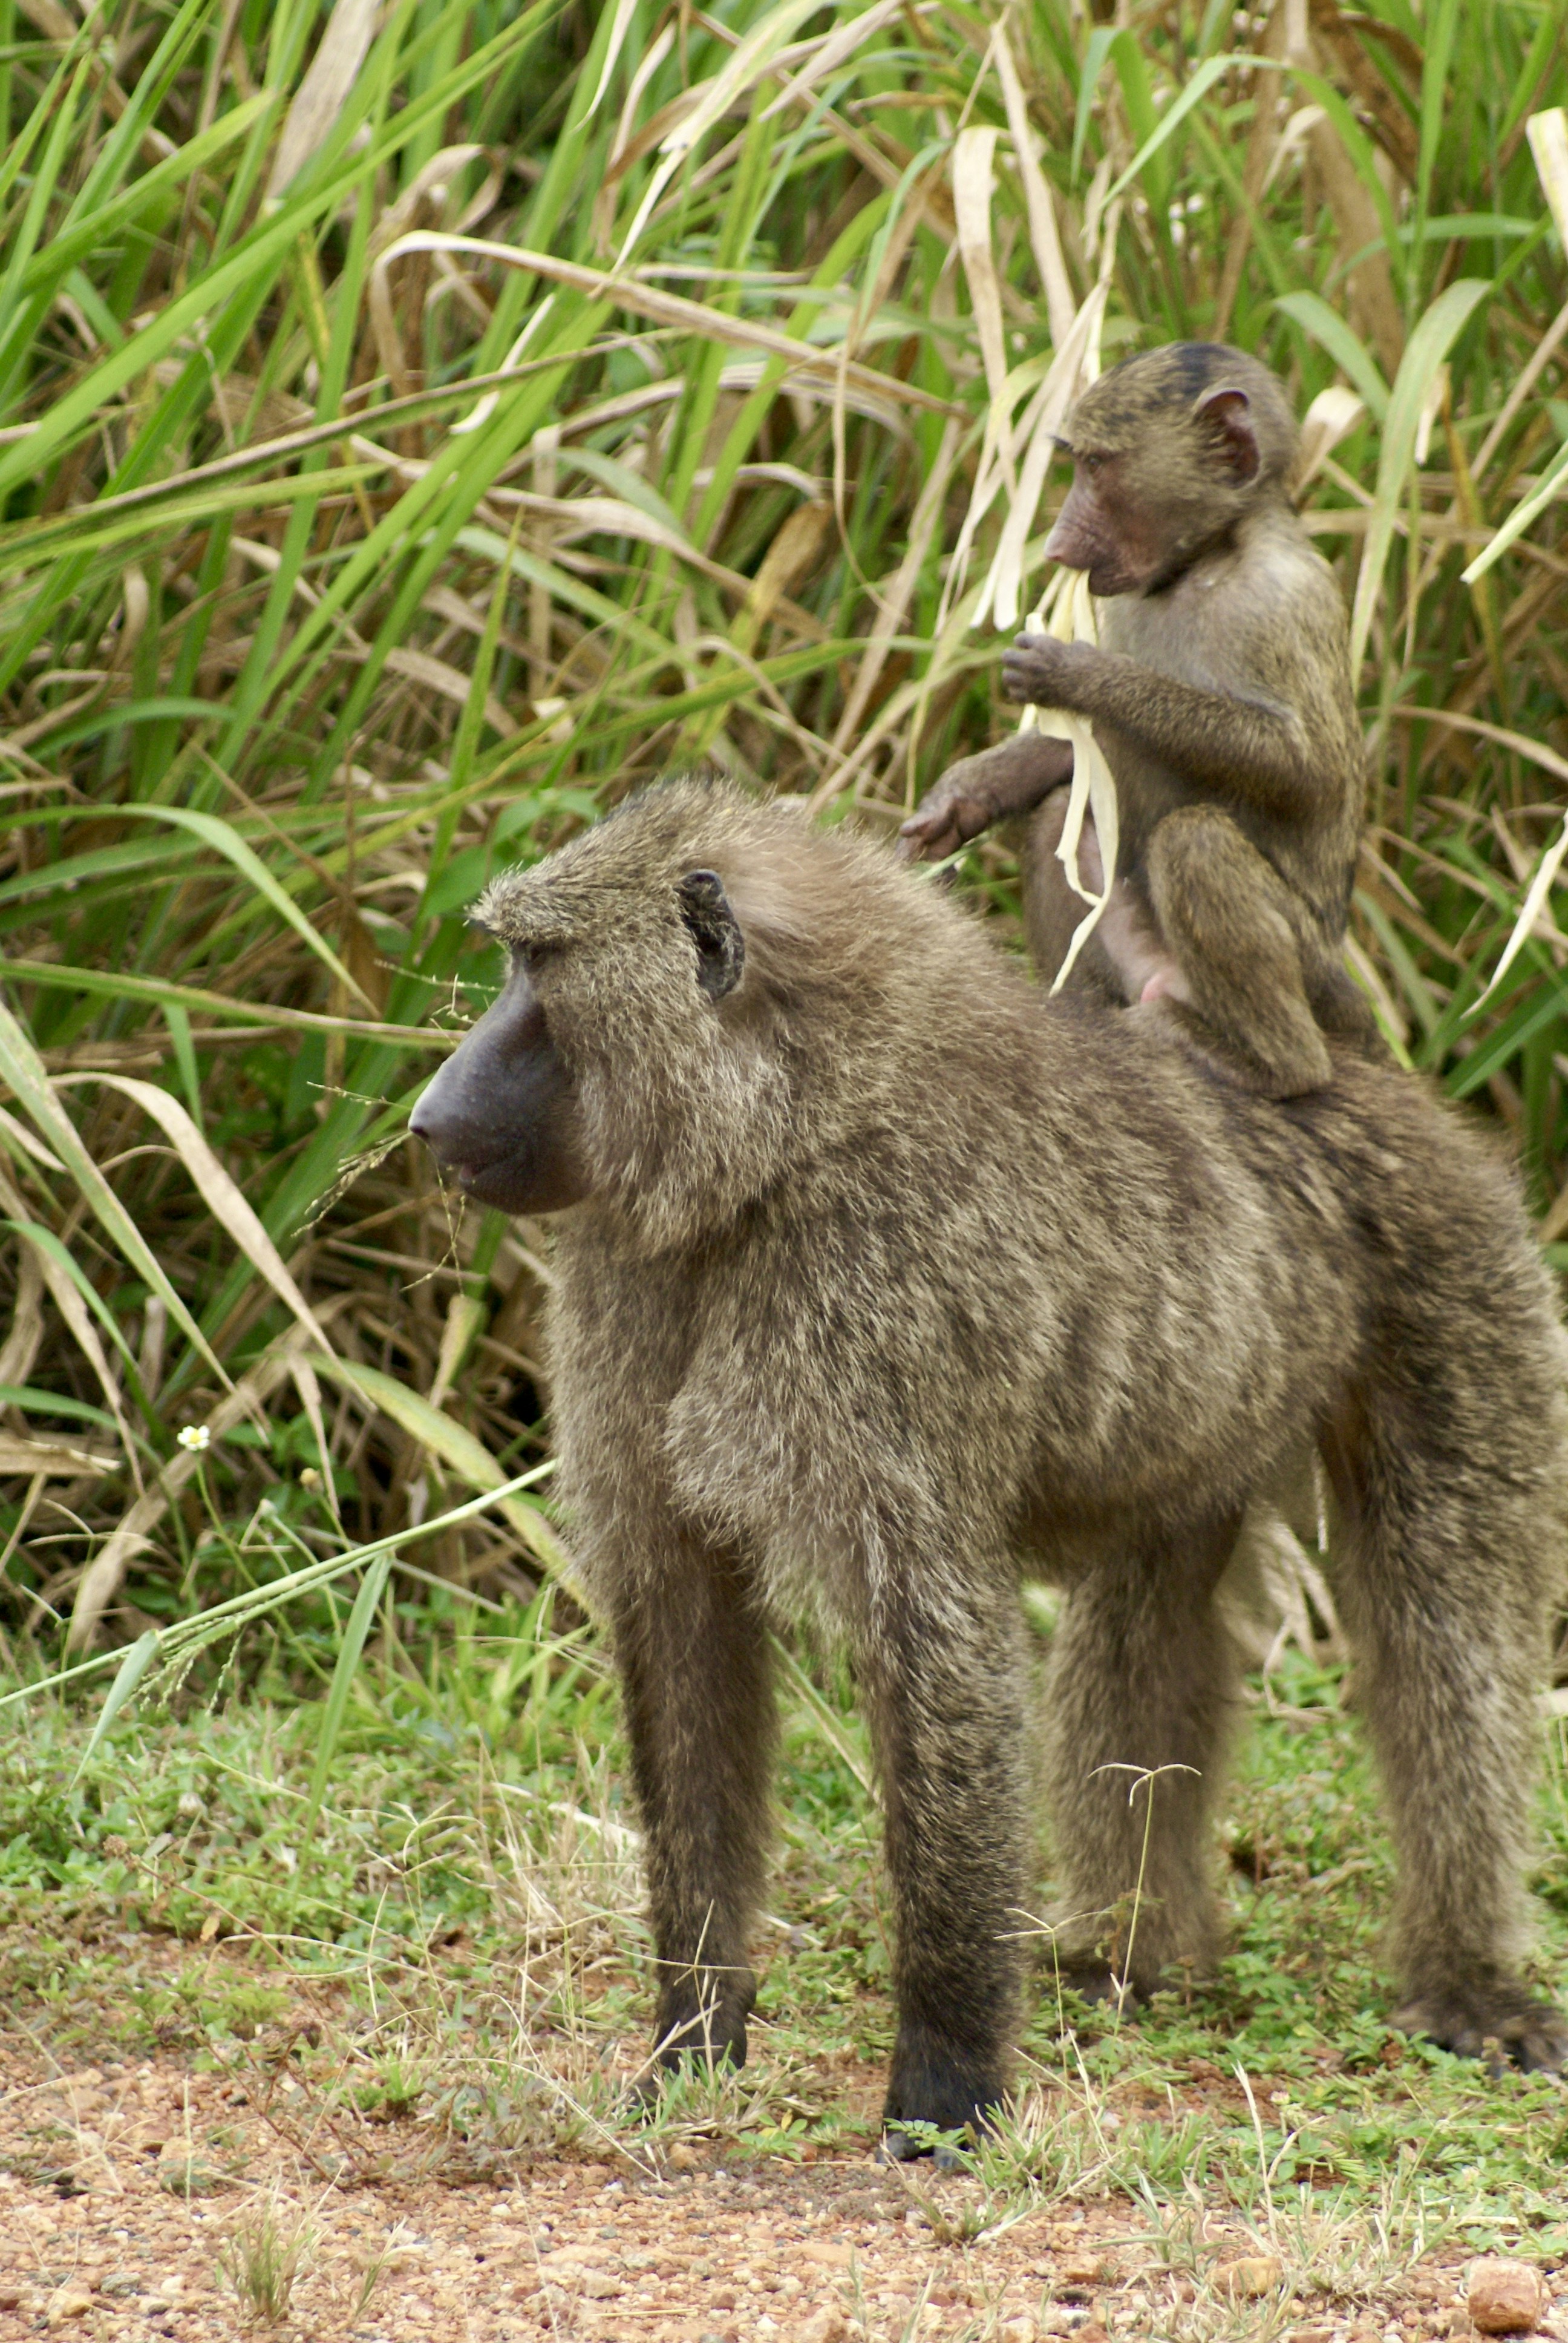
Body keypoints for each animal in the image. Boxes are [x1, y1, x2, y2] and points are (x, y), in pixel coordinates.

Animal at [410, 779, 1568, 2151]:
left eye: (535, 969)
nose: (428, 1116)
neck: (790, 1135)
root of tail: (1370, 1082)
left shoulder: (883, 1295)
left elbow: (937, 1641)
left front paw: (946, 2090)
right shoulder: (629, 1285)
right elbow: (682, 1618)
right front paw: (692, 2044)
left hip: (1465, 1292)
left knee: (1444, 1633)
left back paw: (1468, 1983)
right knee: (1152, 1632)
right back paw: (1132, 1959)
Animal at [900, 342, 1375, 1099]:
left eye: (1097, 466)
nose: (1055, 547)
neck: (1204, 561)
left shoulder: (1282, 602)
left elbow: (1309, 771)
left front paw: (1078, 673)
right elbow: (1078, 756)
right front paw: (966, 797)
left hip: (1316, 977)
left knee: (1195, 842)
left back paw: (1273, 1063)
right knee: (1059, 818)